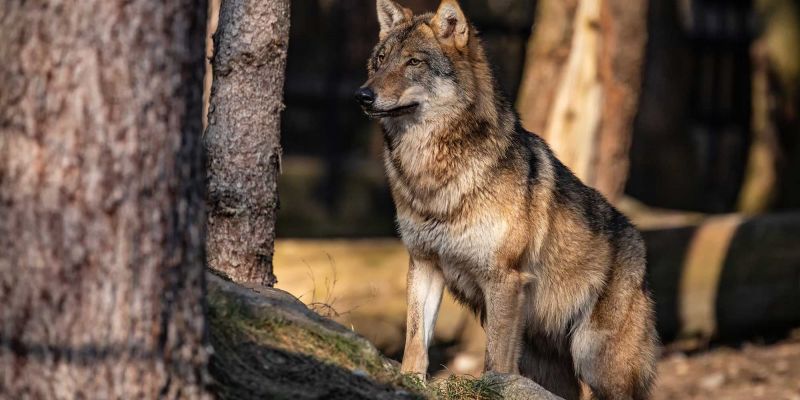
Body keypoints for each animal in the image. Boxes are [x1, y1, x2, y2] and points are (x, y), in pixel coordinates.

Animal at [355, 1, 659, 399]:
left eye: (414, 62)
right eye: (380, 59)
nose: (363, 95)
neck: (434, 176)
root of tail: (639, 242)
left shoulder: (503, 278)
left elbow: (495, 360)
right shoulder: (424, 265)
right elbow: (415, 342)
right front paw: (409, 382)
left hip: (596, 360)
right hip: (545, 361)